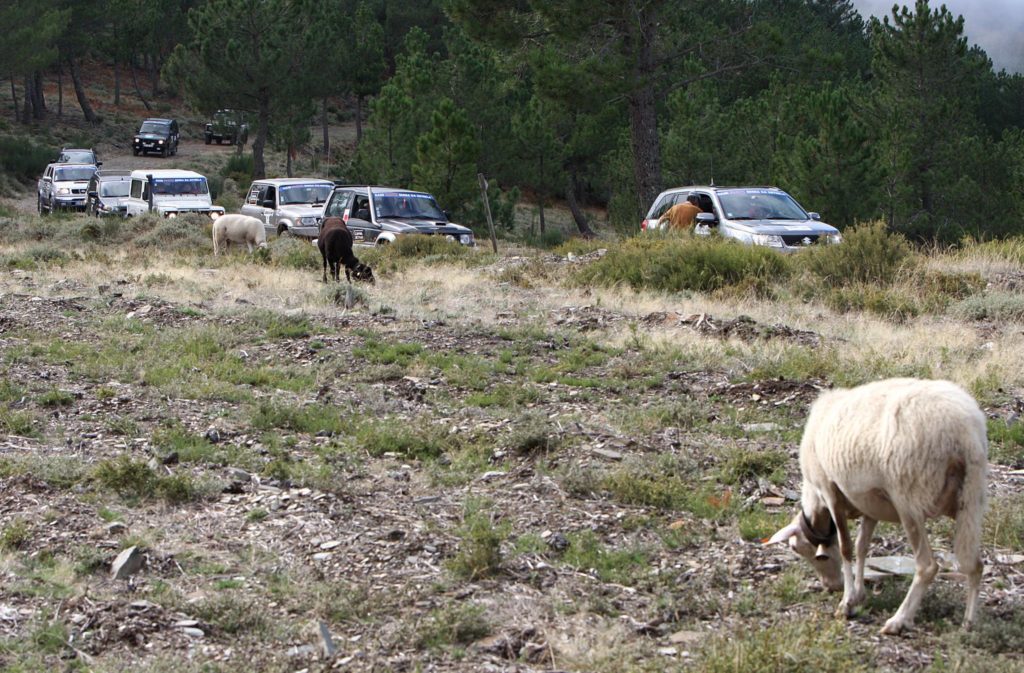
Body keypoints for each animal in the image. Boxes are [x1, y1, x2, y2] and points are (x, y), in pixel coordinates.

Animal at [770, 376, 987, 635]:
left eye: (797, 549)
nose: (831, 586)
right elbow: (862, 546)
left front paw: (846, 603)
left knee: (927, 566)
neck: (816, 500)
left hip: (908, 499)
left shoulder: (830, 491)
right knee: (975, 564)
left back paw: (899, 620)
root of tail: (964, 431)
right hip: (970, 497)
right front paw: (858, 594)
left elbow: (846, 547)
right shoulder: (869, 504)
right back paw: (969, 623)